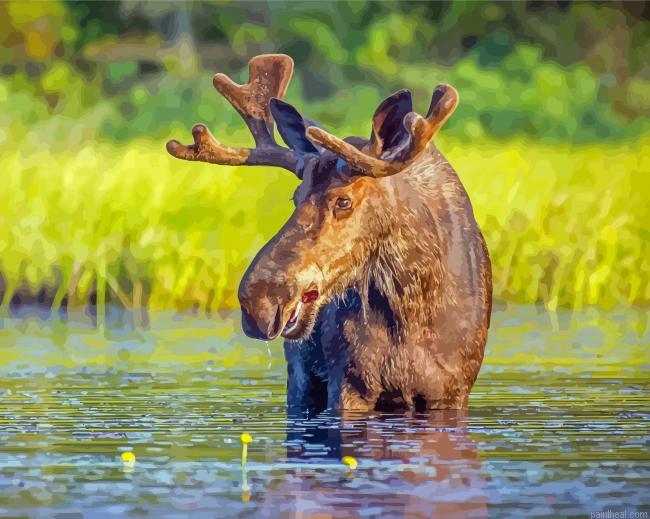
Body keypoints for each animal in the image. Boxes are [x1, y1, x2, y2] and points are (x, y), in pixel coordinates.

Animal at [167, 54, 492, 414]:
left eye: (344, 200)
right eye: (295, 197)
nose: (259, 300)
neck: (413, 308)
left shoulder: (451, 391)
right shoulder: (348, 383)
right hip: (300, 378)